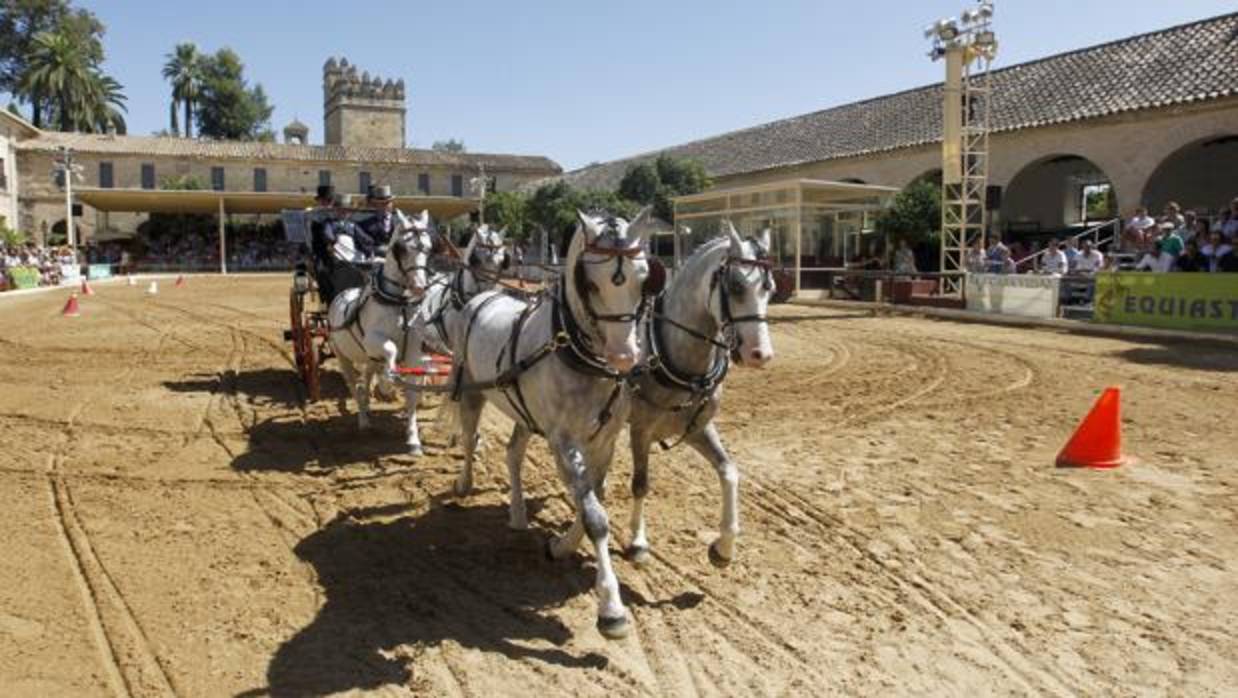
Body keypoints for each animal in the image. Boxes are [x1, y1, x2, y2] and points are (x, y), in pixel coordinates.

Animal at [326, 209, 433, 435]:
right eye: (401, 248)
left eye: (429, 248)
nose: (420, 287)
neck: (398, 303)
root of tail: (341, 295)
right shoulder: (373, 340)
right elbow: (391, 350)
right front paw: (386, 387)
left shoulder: (413, 349)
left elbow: (412, 394)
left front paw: (412, 432)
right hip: (343, 356)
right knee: (354, 385)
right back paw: (363, 418)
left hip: (369, 357)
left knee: (366, 377)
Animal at [443, 206, 663, 638]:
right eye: (589, 283)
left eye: (644, 277)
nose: (625, 356)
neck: (582, 356)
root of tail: (482, 296)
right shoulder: (564, 441)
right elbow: (595, 517)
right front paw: (611, 607)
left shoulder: (605, 439)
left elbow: (593, 498)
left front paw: (561, 545)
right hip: (472, 390)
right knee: (470, 435)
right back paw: (464, 483)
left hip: (525, 413)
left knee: (513, 453)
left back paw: (516, 514)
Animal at [628, 222, 772, 566]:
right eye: (735, 286)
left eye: (770, 288)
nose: (761, 354)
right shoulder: (640, 430)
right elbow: (640, 484)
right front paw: (638, 541)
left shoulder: (697, 428)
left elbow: (729, 471)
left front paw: (724, 546)